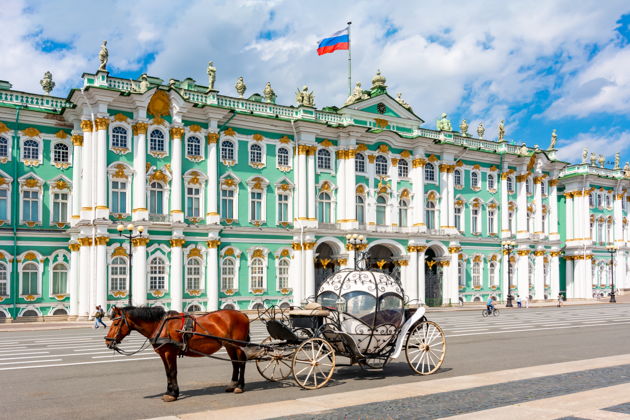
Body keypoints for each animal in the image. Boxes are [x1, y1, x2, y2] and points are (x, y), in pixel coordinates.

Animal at [106, 306, 252, 400]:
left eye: (116, 323)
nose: (107, 342)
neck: (161, 325)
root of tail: (243, 314)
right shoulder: (163, 353)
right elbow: (167, 373)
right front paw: (169, 391)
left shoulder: (170, 352)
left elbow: (172, 372)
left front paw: (173, 394)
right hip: (229, 345)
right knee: (235, 363)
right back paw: (232, 385)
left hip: (239, 345)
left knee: (241, 363)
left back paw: (240, 386)